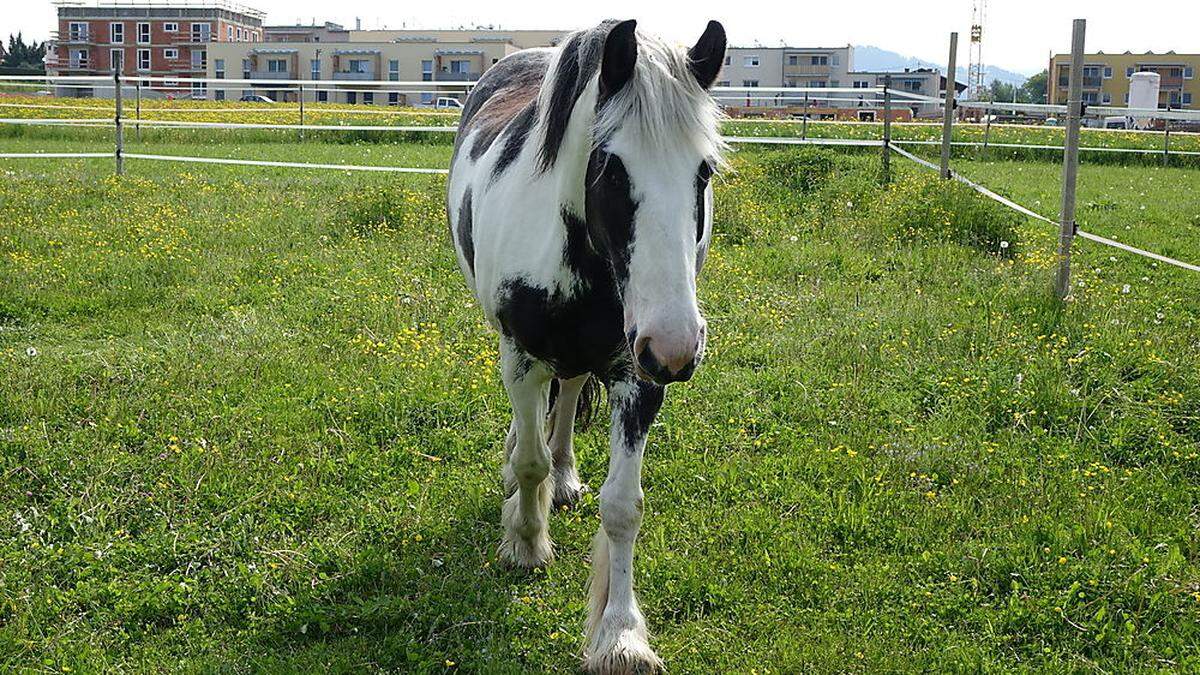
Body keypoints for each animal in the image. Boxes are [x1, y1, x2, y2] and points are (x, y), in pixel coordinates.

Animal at [444, 18, 715, 667]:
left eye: (704, 172)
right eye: (611, 168)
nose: (676, 347)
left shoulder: (637, 379)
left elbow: (623, 506)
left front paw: (620, 635)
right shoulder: (521, 360)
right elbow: (530, 460)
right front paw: (525, 541)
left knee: (567, 396)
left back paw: (566, 476)